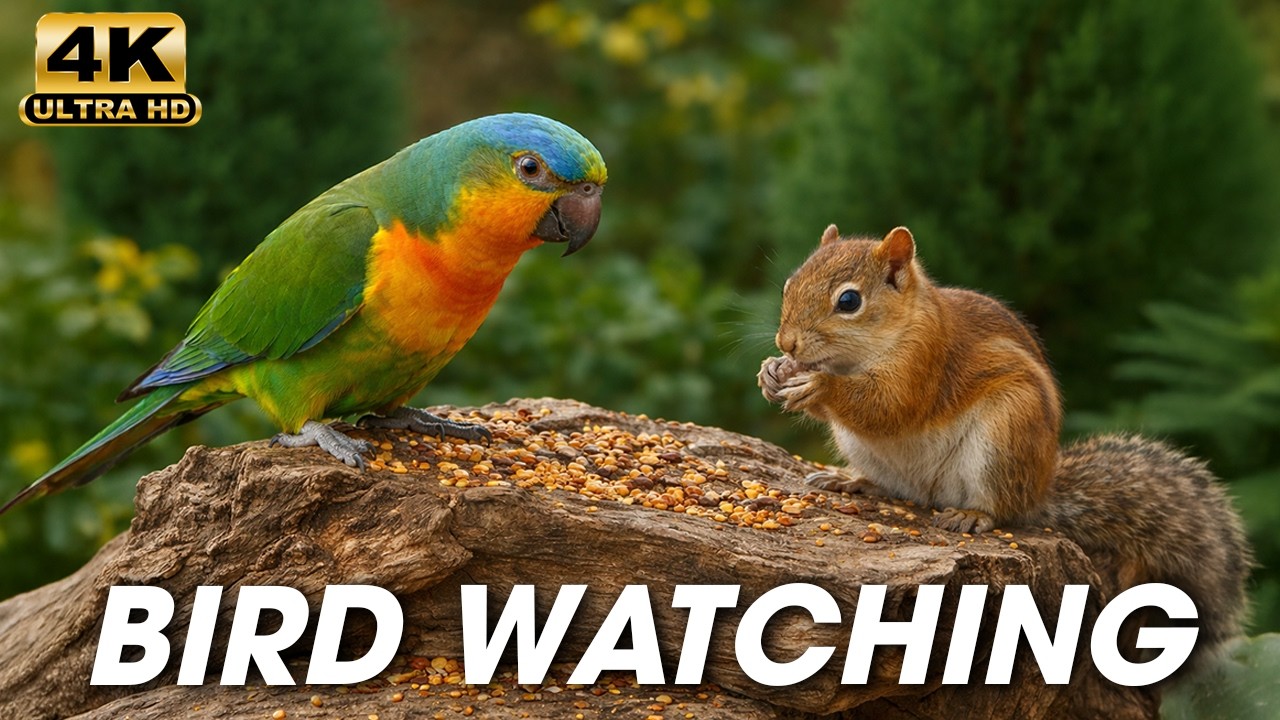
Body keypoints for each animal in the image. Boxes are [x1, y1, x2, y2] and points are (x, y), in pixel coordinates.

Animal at [759, 224, 1252, 669]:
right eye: (789, 282)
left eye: (849, 301)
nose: (787, 342)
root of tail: (1038, 491)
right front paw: (771, 371)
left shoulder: (924, 362)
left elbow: (886, 406)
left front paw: (819, 386)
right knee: (892, 485)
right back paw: (852, 480)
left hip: (1004, 435)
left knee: (1000, 507)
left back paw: (973, 514)